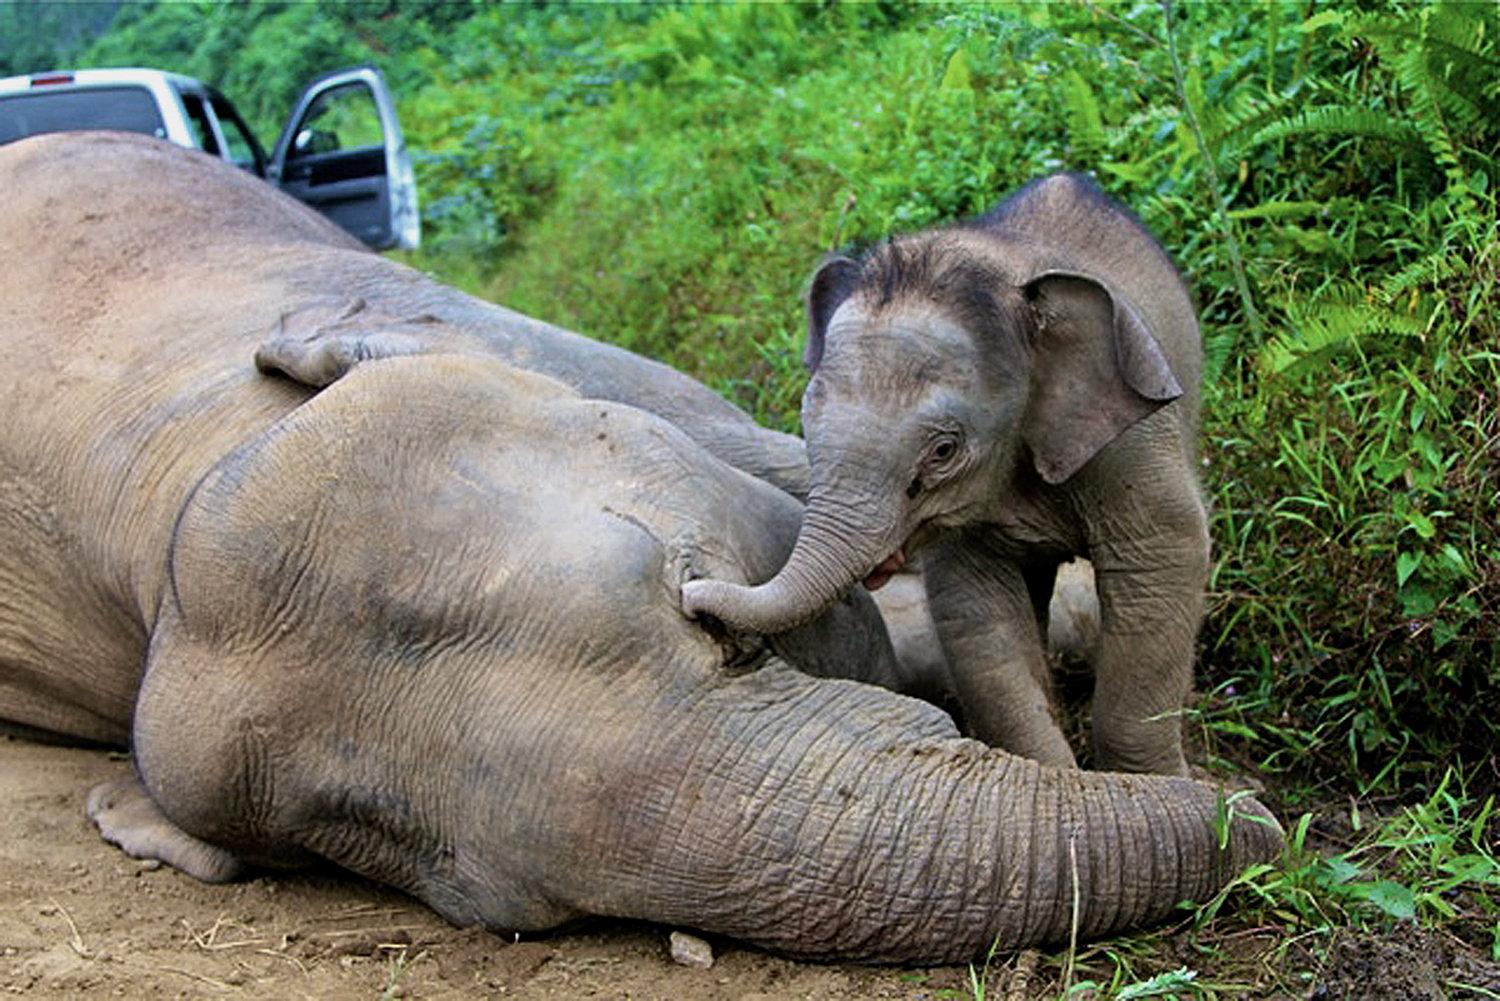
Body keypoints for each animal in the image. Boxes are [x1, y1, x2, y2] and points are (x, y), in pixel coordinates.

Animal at [683, 174, 1207, 776]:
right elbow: (976, 609)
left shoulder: (1131, 441)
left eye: (943, 450)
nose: (691, 596)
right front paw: (1054, 775)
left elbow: (1163, 560)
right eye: (805, 422)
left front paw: (1161, 783)